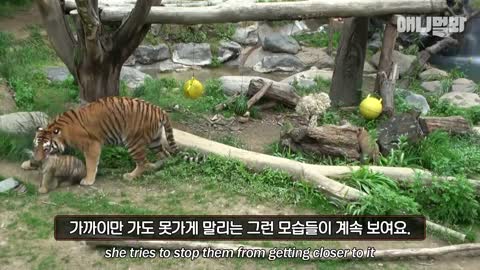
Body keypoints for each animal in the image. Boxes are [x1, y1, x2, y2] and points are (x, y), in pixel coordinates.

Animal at [30, 96, 180, 186]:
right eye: (36, 147)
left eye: (46, 148)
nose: (36, 161)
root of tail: (159, 109)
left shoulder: (92, 145)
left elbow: (91, 164)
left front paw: (88, 180)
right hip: (155, 141)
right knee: (165, 155)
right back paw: (157, 168)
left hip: (133, 142)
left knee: (143, 162)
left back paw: (130, 176)